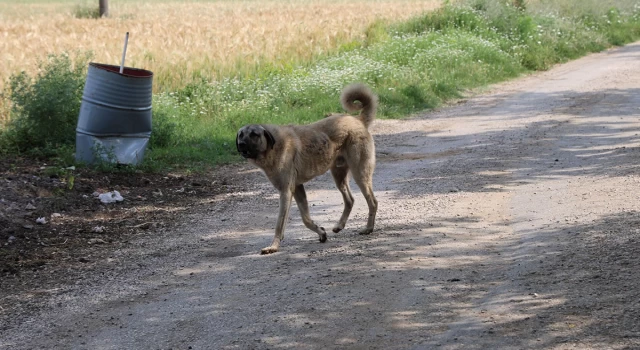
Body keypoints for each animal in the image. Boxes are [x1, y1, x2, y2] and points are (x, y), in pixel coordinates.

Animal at [238, 84, 380, 254]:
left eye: (254, 134)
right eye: (240, 135)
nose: (241, 145)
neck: (272, 147)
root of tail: (357, 120)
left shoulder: (286, 192)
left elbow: (280, 224)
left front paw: (273, 246)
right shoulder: (298, 188)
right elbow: (305, 219)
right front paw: (321, 233)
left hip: (360, 174)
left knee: (373, 201)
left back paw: (368, 228)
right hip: (339, 176)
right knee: (350, 200)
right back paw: (339, 226)